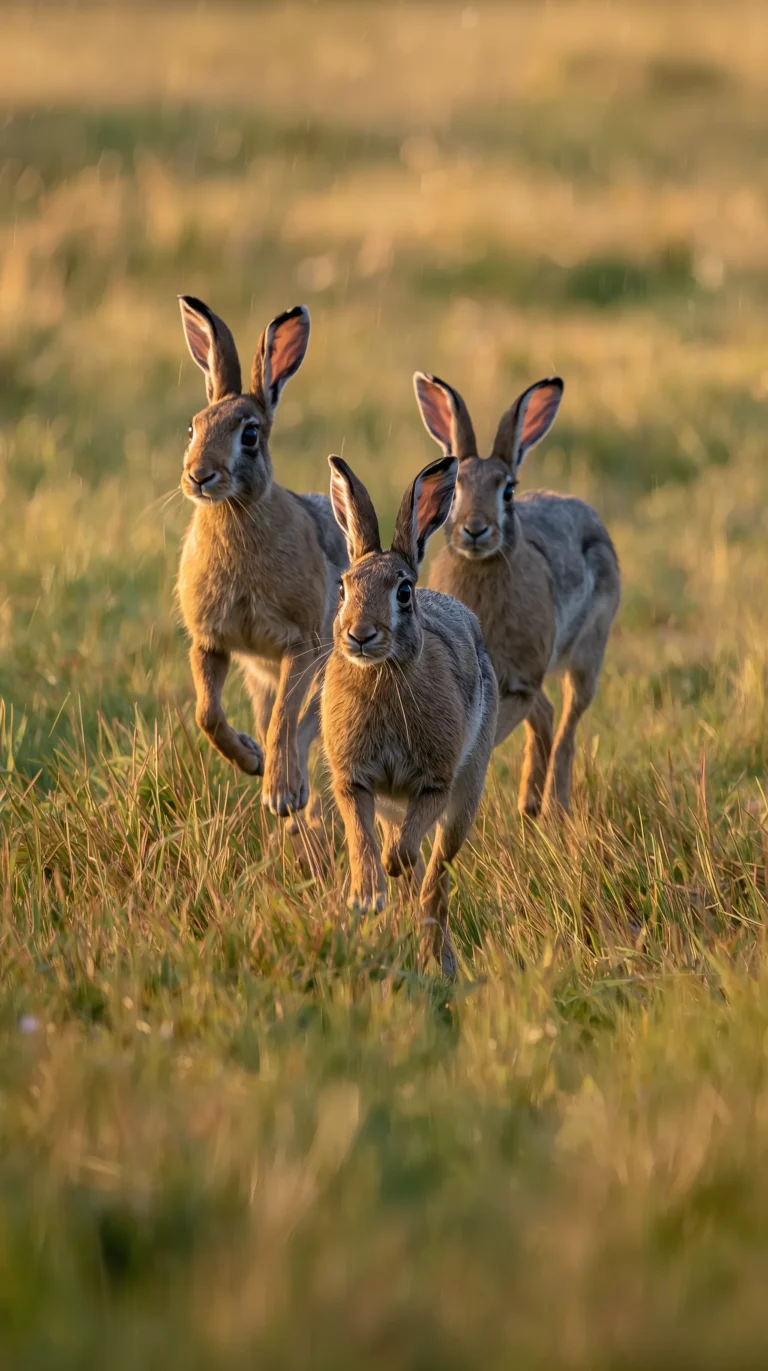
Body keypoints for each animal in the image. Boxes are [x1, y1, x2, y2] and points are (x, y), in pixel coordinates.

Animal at [176, 295, 347, 819]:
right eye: (192, 428)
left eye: (249, 435)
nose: (199, 476)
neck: (234, 513)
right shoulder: (210, 642)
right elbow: (207, 713)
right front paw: (249, 759)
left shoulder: (301, 644)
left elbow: (284, 720)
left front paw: (279, 790)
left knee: (305, 725)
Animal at [321, 452, 498, 977]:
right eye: (343, 588)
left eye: (403, 592)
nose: (360, 635)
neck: (381, 676)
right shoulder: (354, 783)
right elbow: (361, 841)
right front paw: (368, 896)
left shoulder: (436, 782)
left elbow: (408, 845)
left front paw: (394, 868)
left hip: (465, 794)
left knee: (437, 880)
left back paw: (441, 960)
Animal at [413, 372, 620, 818]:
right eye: (455, 490)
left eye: (508, 492)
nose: (475, 530)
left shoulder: (521, 678)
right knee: (546, 716)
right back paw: (530, 804)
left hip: (585, 656)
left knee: (567, 723)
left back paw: (554, 805)